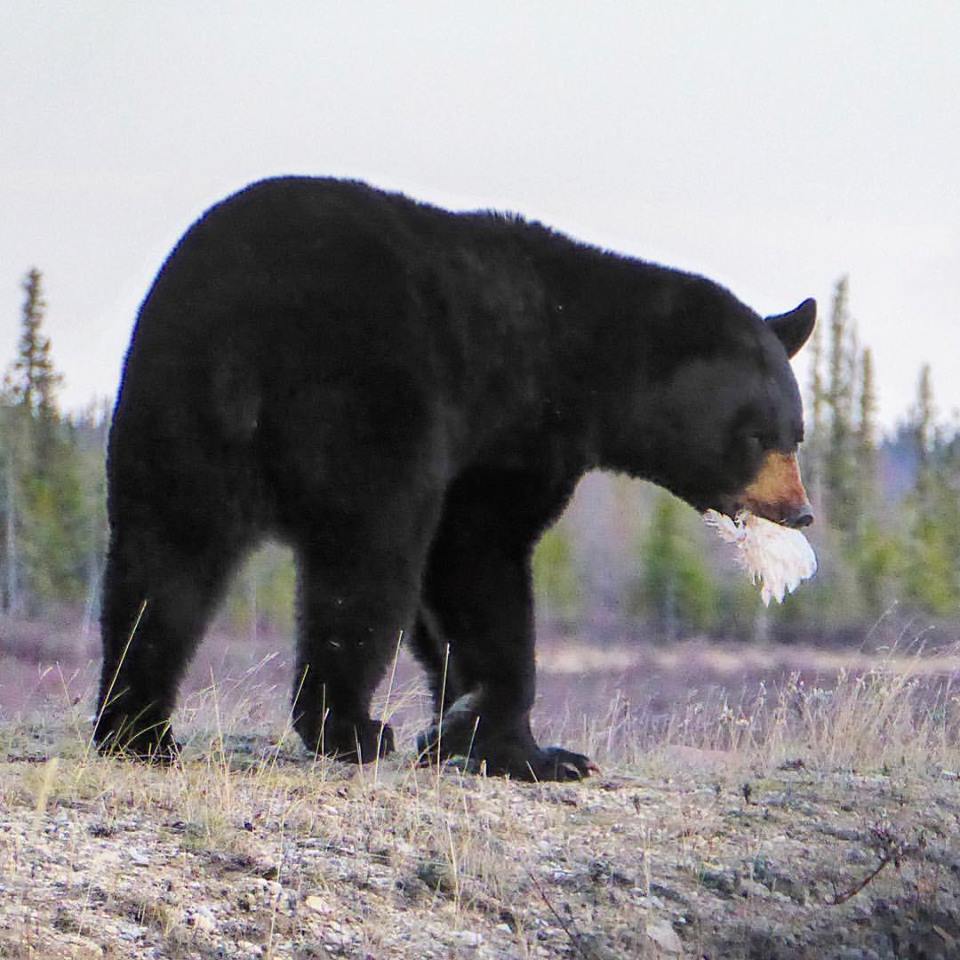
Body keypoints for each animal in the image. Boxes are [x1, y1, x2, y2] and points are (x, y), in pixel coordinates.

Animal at [95, 176, 815, 780]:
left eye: (796, 434)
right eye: (757, 435)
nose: (800, 510)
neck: (579, 358)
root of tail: (243, 327)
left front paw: (473, 734)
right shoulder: (503, 435)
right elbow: (476, 559)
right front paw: (528, 750)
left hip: (169, 412)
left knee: (162, 567)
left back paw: (137, 730)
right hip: (364, 405)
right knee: (366, 562)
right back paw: (349, 728)